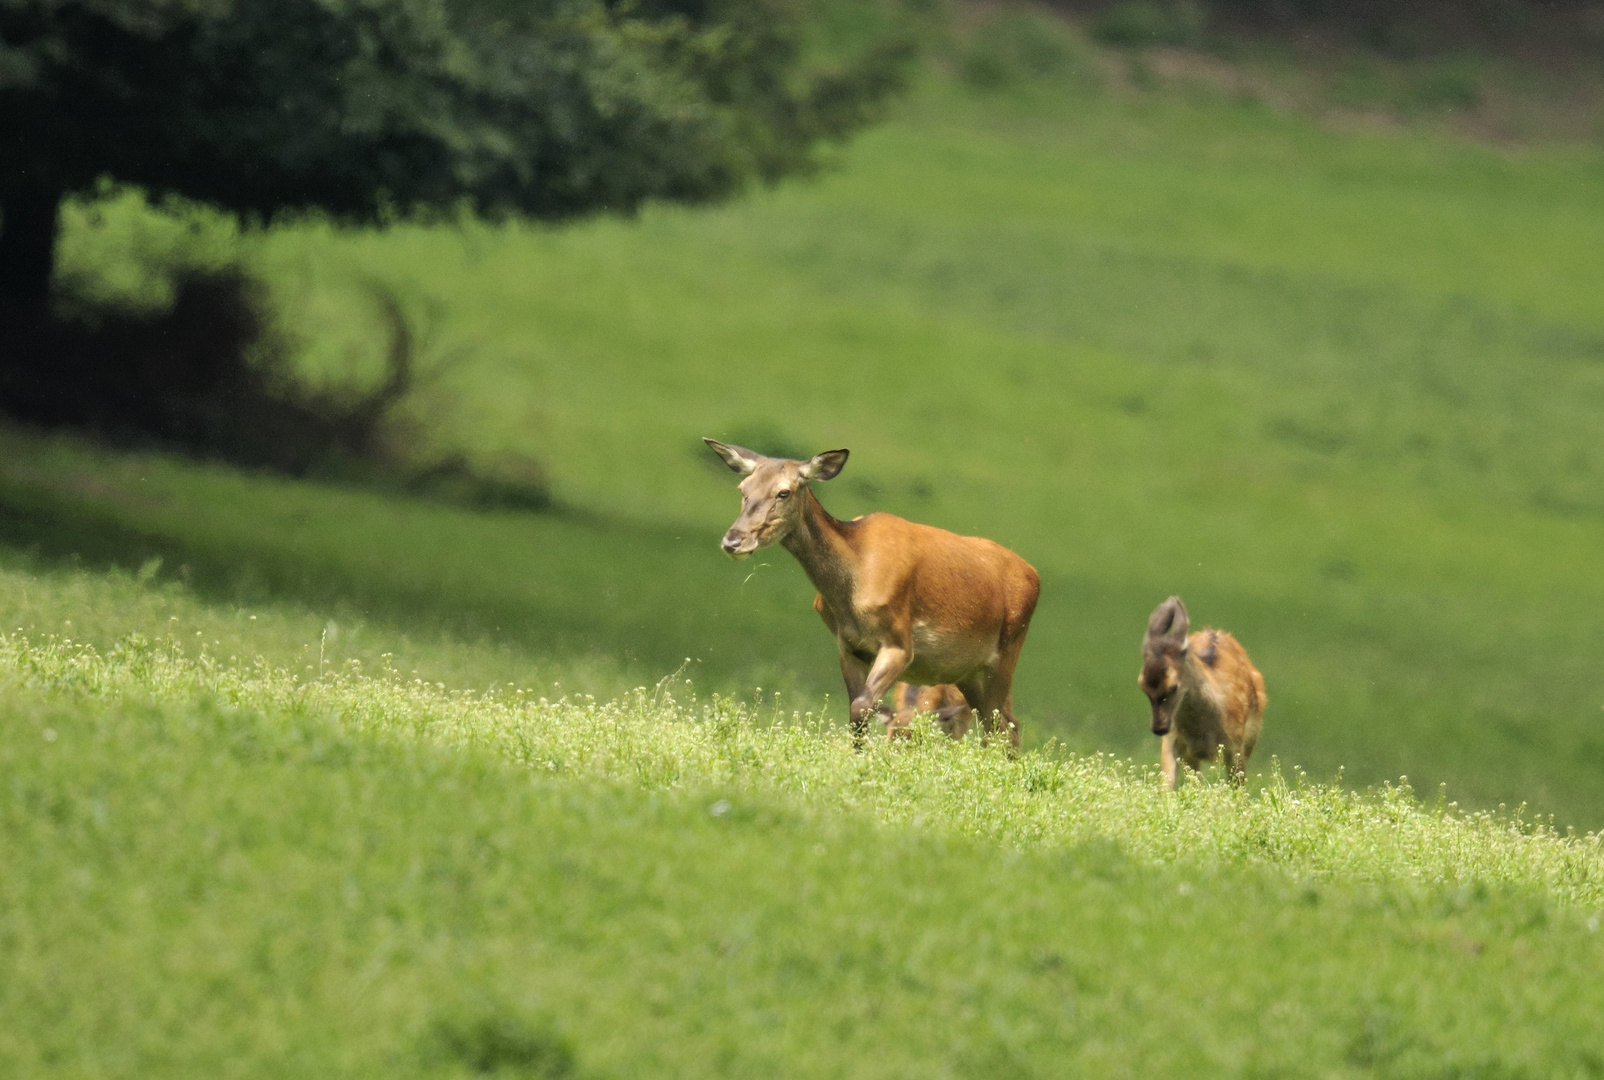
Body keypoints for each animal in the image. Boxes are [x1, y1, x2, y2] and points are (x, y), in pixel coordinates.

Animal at [702, 442, 1039, 744]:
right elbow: (856, 713)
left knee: (1001, 723)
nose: (733, 540)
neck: (853, 584)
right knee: (1001, 721)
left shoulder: (899, 643)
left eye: (783, 492)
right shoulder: (849, 646)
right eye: (743, 488)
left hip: (1007, 650)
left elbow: (863, 706)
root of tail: (1034, 574)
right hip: (967, 671)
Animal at [1142, 593, 1263, 786]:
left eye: (1174, 686)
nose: (1159, 728)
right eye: (1142, 686)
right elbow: (1168, 784)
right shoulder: (1174, 740)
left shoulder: (1237, 743)